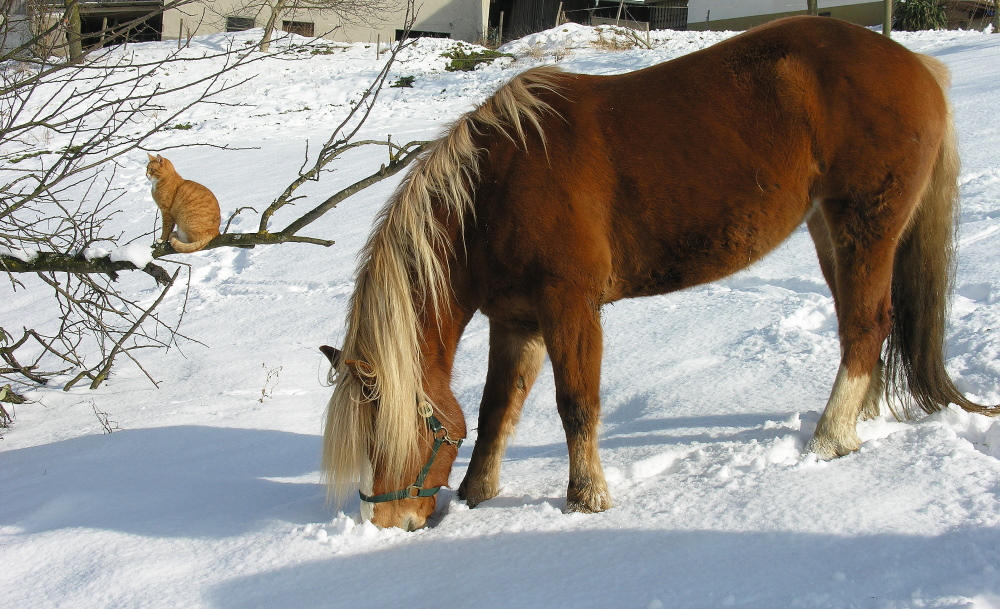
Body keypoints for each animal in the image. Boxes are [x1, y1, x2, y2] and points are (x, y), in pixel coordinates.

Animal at [326, 16, 992, 528]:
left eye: (389, 431)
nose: (385, 521)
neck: (494, 190)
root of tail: (917, 66)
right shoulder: (516, 321)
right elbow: (497, 408)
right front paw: (478, 495)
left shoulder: (569, 305)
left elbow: (577, 404)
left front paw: (587, 498)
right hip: (829, 229)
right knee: (867, 326)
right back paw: (860, 421)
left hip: (865, 225)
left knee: (865, 325)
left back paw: (830, 438)